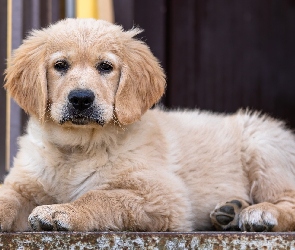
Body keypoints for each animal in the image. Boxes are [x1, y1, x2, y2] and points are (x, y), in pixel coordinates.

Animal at [2, 18, 295, 232]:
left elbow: (102, 196)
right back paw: (230, 211)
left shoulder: (165, 197)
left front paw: (63, 210)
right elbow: (6, 197)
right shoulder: (22, 184)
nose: (81, 99)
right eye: (60, 65)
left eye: (105, 67)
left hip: (263, 145)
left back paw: (259, 213)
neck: (76, 147)